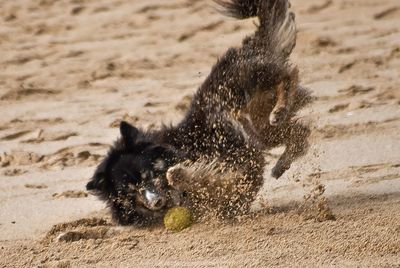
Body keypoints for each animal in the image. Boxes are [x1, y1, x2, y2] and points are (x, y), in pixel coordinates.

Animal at [86, 0, 312, 225]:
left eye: (147, 174)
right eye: (131, 191)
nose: (155, 202)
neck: (179, 149)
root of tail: (249, 45)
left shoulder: (237, 162)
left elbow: (190, 177)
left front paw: (181, 174)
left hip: (249, 83)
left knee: (288, 77)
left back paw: (280, 110)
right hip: (262, 128)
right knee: (300, 132)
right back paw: (281, 162)